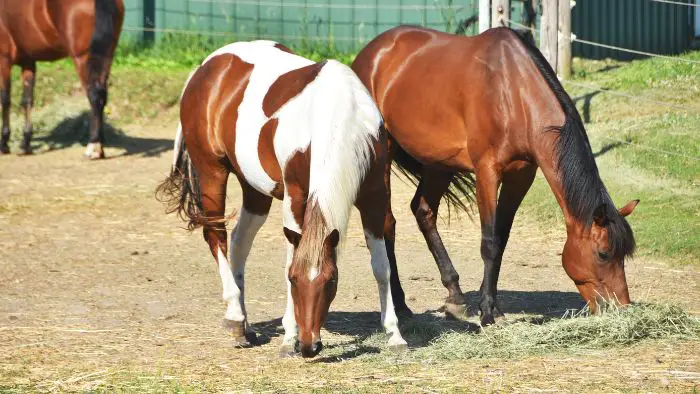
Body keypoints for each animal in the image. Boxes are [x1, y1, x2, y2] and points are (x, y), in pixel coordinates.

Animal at [0, 1, 123, 159]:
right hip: (106, 58)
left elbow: (5, 100)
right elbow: (26, 100)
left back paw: (93, 147)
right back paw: (100, 146)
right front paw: (26, 144)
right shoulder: (28, 62)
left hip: (82, 58)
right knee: (103, 97)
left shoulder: (4, 59)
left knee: (95, 96)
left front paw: (4, 144)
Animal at [157, 40, 410, 358]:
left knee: (239, 242)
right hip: (211, 171)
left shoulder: (374, 195)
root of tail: (206, 66)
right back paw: (235, 317)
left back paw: (245, 326)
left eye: (332, 280)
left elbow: (381, 265)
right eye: (292, 279)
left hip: (254, 190)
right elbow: (292, 254)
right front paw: (289, 337)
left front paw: (394, 334)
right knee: (216, 235)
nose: (309, 346)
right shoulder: (296, 196)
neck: (336, 116)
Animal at [350, 25, 640, 326]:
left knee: (423, 211)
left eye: (624, 255)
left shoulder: (521, 176)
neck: (514, 93)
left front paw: (488, 303)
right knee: (386, 223)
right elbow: (489, 242)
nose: (622, 308)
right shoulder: (487, 172)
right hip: (384, 154)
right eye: (603, 254)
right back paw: (400, 304)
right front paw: (488, 312)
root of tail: (370, 53)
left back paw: (455, 295)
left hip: (439, 163)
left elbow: (501, 238)